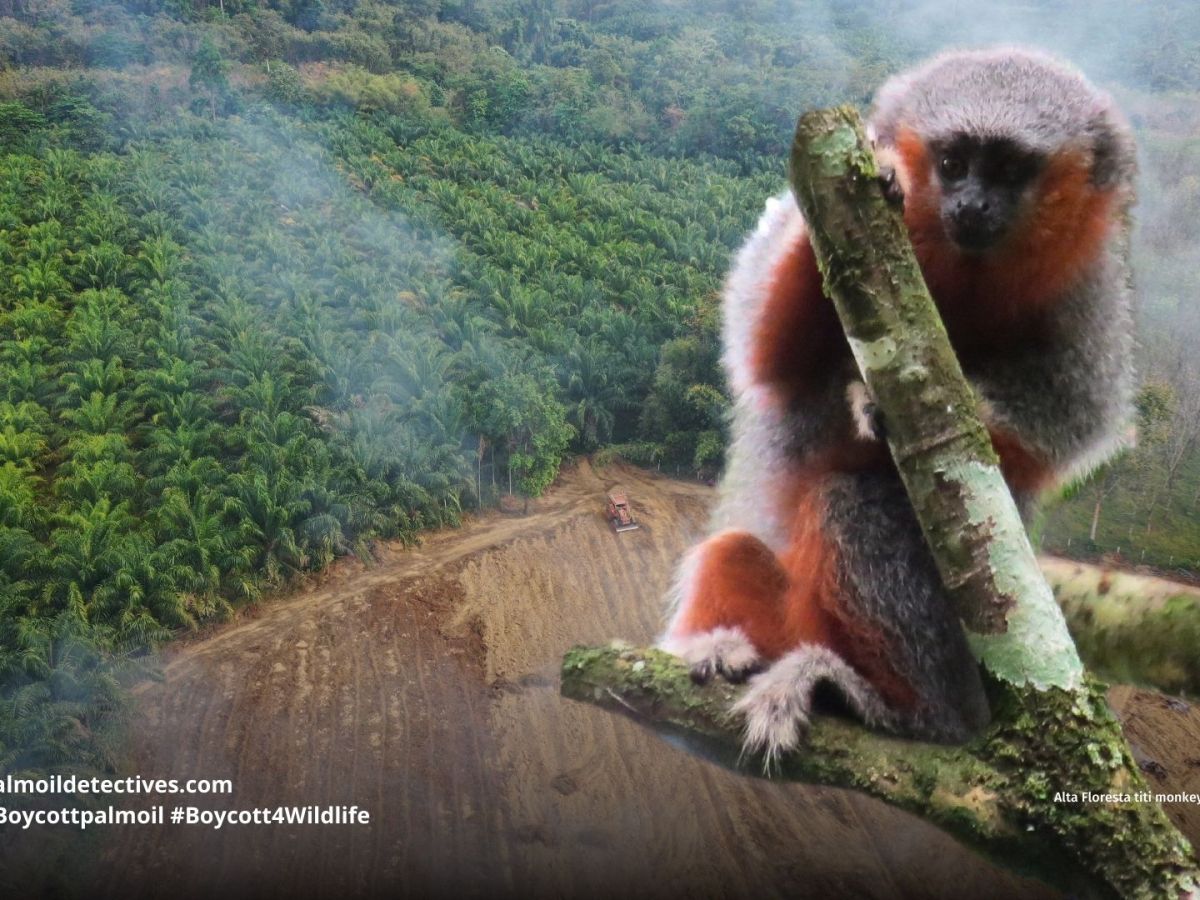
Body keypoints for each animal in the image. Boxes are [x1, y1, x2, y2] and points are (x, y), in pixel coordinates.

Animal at [656, 47, 1137, 766]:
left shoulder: (1090, 287)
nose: (971, 203)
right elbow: (765, 357)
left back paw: (904, 711)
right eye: (954, 163)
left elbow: (1072, 426)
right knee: (735, 549)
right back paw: (729, 651)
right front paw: (878, 175)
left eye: (1008, 171)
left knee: (853, 503)